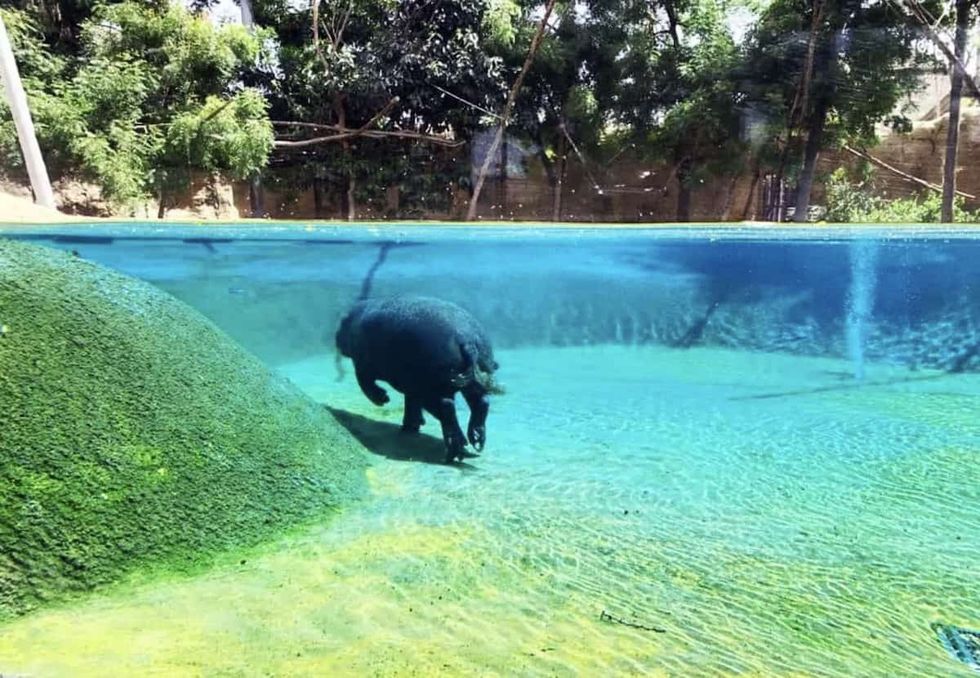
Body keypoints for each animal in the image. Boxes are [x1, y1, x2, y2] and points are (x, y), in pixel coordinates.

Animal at [335, 295, 501, 463]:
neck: (354, 317)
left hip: (431, 388)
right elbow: (411, 404)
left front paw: (383, 399)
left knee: (446, 407)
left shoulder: (361, 366)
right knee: (481, 402)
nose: (335, 337)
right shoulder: (410, 386)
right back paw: (476, 439)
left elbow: (366, 385)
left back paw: (455, 451)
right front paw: (413, 426)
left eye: (342, 320)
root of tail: (467, 341)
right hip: (469, 382)